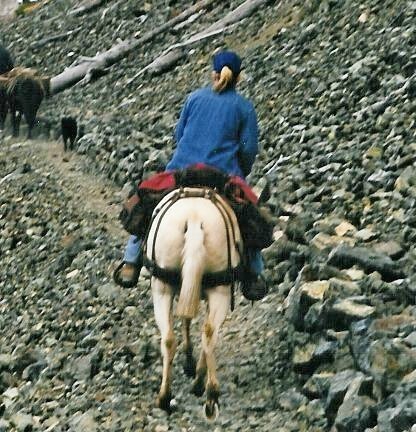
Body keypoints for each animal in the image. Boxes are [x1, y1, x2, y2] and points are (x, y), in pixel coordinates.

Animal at [144, 187, 244, 420]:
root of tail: (195, 220)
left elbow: (186, 320)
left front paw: (189, 362)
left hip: (162, 287)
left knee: (171, 337)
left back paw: (172, 395)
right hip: (218, 291)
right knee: (207, 333)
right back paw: (207, 393)